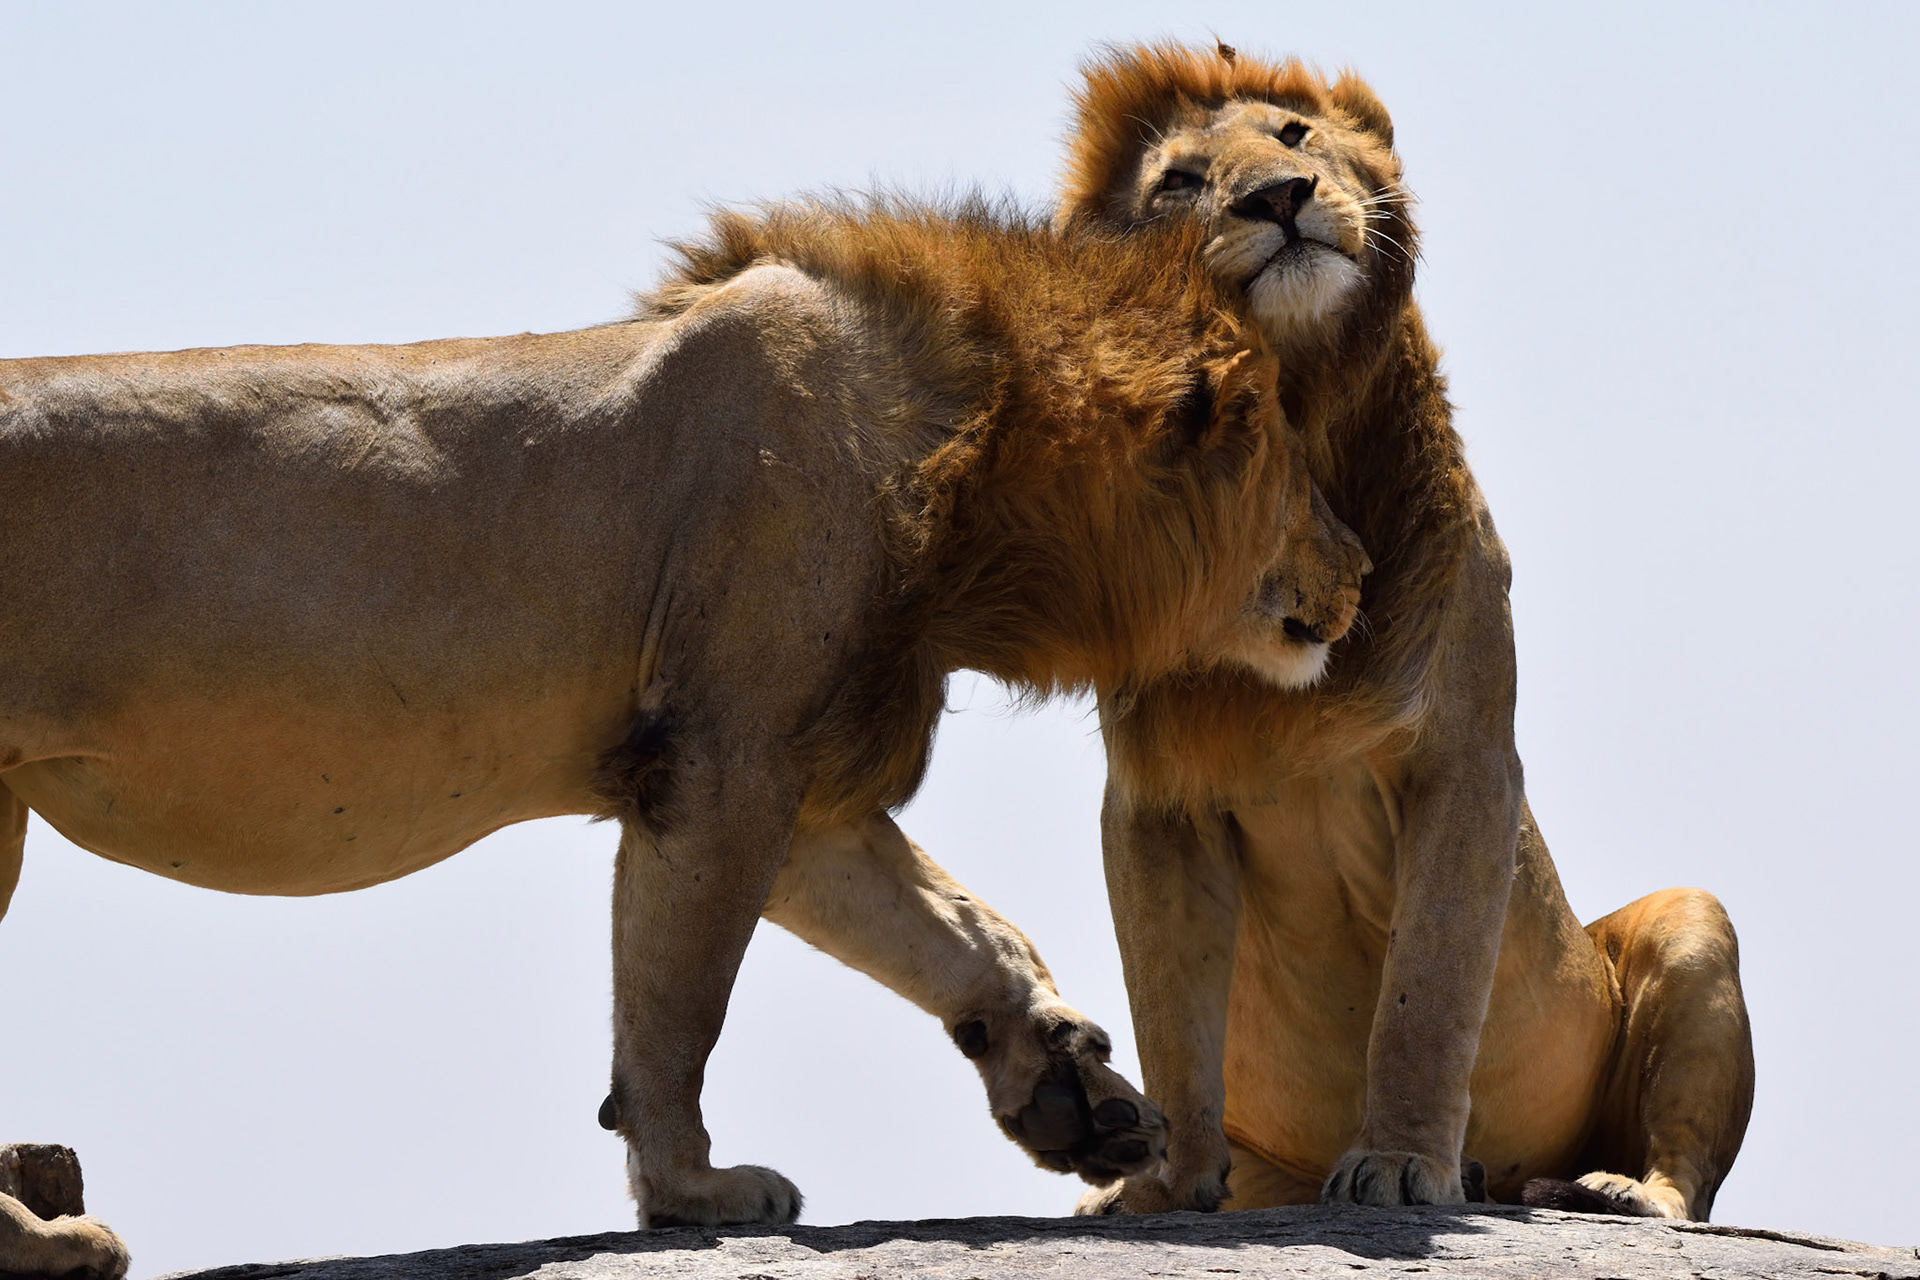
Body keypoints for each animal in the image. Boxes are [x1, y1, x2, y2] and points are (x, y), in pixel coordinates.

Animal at [0, 196, 1364, 1275]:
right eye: (1295, 464)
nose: (1359, 569)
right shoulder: (718, 763)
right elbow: (675, 1006)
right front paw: (693, 1193)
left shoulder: (804, 784)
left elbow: (961, 926)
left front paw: (1075, 1094)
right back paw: (56, 1242)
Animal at [1034, 43, 1756, 1220]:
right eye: (1180, 181)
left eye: (1292, 136)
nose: (1280, 197)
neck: (1300, 434)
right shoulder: (1155, 796)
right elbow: (1170, 1013)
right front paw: (1166, 1186)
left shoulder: (1463, 760)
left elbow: (1427, 989)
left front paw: (1406, 1163)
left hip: (1695, 924)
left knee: (1686, 1173)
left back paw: (1610, 1189)